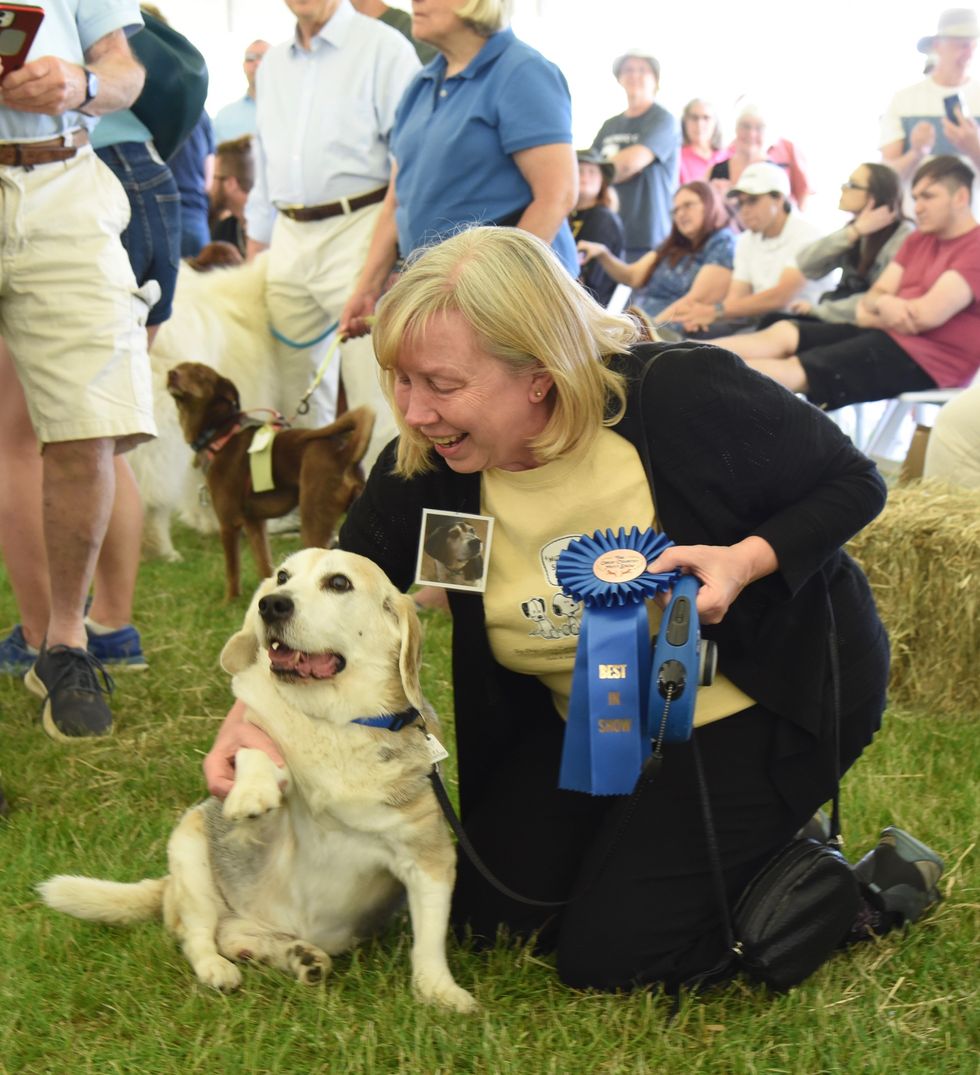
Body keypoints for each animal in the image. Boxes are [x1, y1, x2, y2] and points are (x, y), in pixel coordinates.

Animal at [40, 550, 477, 1010]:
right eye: (282, 577)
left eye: (339, 583)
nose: (272, 604)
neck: (333, 722)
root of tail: (168, 888)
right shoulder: (265, 801)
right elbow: (259, 744)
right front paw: (252, 791)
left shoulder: (428, 857)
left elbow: (429, 941)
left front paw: (439, 990)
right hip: (190, 852)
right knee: (200, 936)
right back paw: (219, 968)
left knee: (235, 935)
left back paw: (298, 956)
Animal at [166, 359, 373, 597]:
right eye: (179, 367)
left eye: (199, 373)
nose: (171, 374)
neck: (220, 432)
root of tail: (345, 450)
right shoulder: (255, 524)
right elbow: (264, 564)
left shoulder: (228, 524)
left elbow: (232, 572)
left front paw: (230, 601)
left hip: (313, 521)